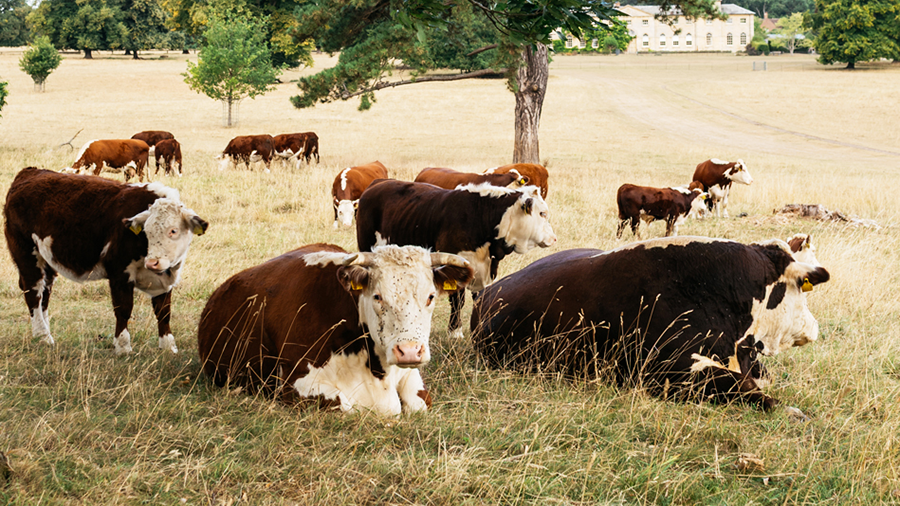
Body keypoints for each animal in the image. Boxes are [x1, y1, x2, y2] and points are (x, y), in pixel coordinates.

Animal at [3, 167, 208, 355]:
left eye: (173, 230)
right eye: (146, 231)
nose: (153, 263)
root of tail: (30, 171)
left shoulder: (165, 280)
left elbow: (164, 312)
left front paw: (168, 346)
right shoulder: (119, 273)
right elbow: (124, 309)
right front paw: (123, 347)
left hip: (47, 259)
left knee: (45, 292)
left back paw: (44, 331)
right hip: (27, 254)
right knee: (34, 291)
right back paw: (43, 336)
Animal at [197, 243, 474, 416]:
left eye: (430, 297)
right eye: (377, 296)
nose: (409, 352)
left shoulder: (411, 378)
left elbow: (419, 403)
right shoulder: (297, 386)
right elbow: (348, 406)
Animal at [356, 180, 557, 338]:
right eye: (542, 214)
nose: (554, 238)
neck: (480, 217)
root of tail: (376, 184)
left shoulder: (486, 270)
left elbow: (481, 298)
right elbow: (457, 300)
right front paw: (455, 332)